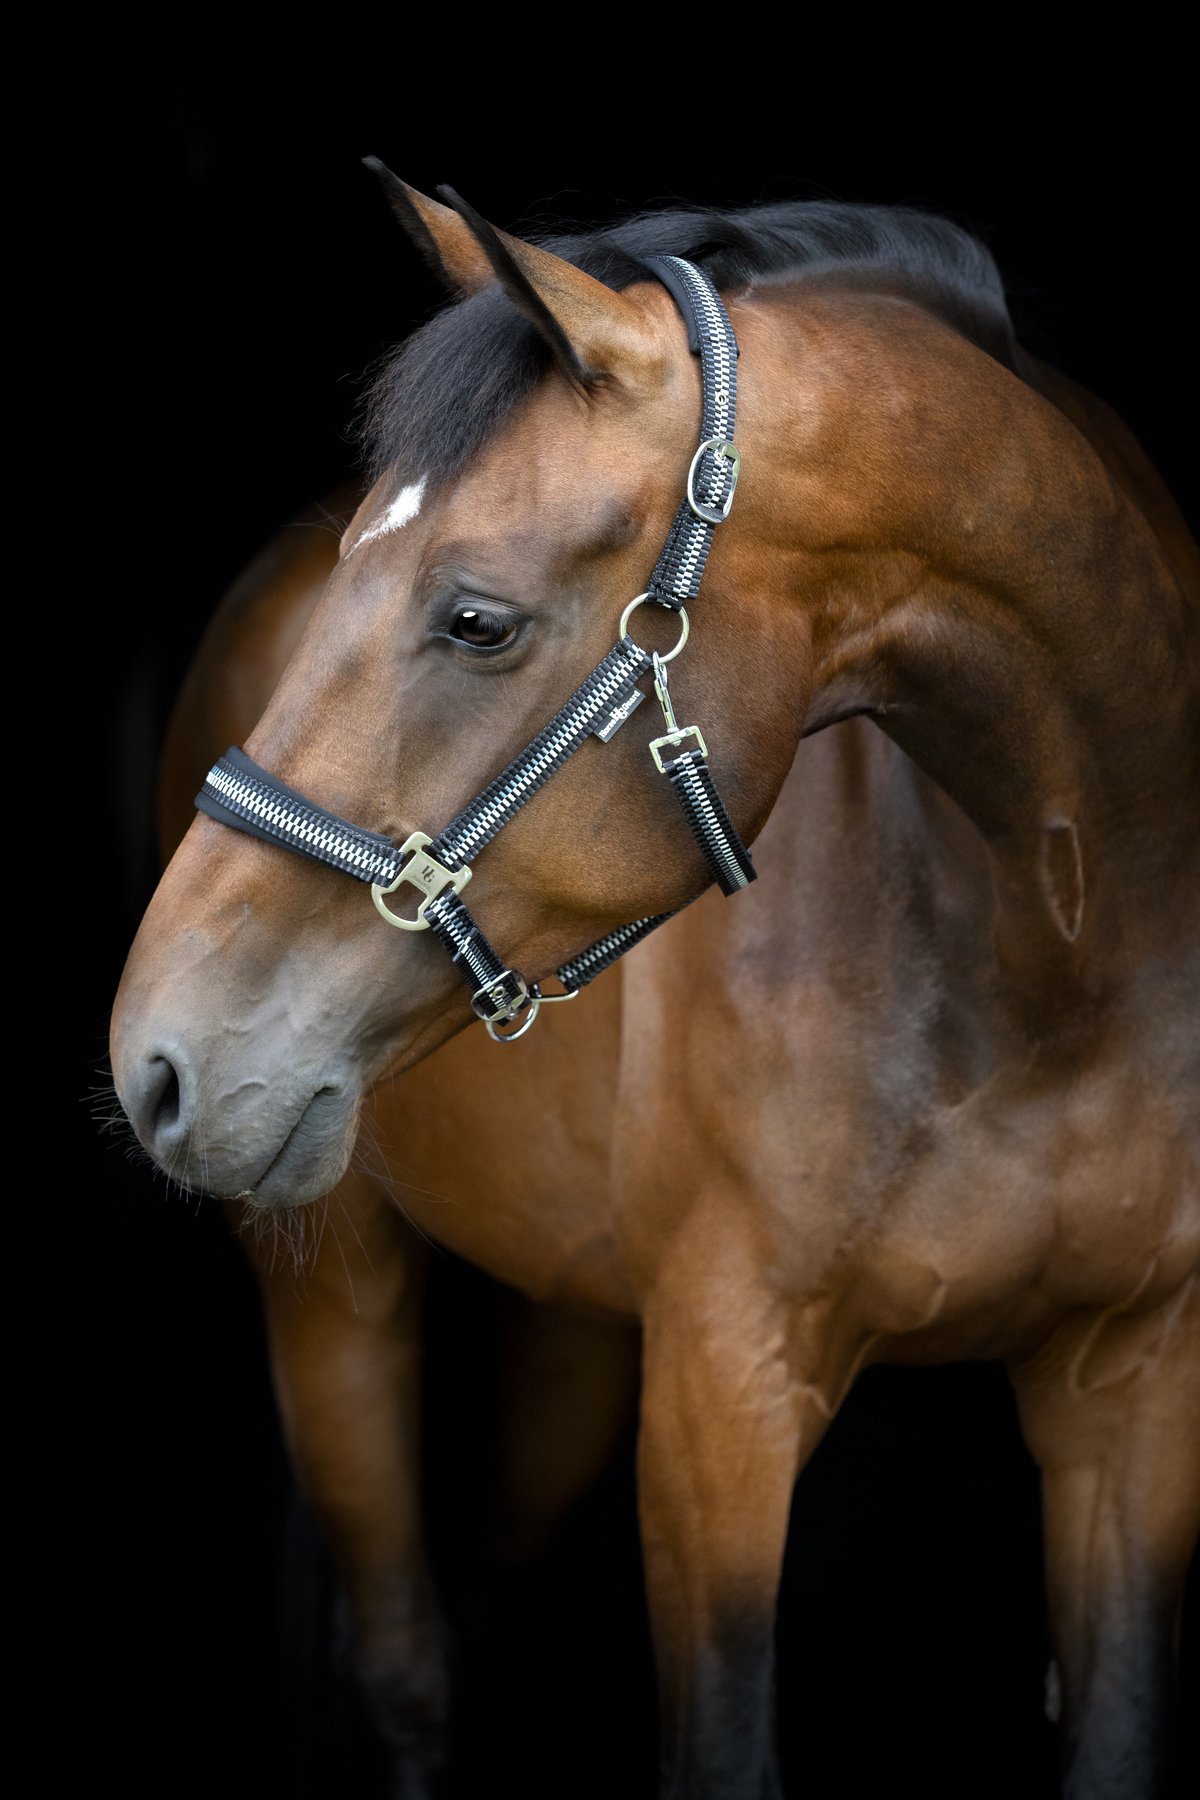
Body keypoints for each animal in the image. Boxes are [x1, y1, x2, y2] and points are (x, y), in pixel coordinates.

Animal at [110, 169, 1199, 1799]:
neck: (1059, 950)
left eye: (477, 618)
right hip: (339, 1291)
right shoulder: (720, 1406)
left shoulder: (1132, 1400)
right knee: (407, 1664)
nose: (156, 1059)